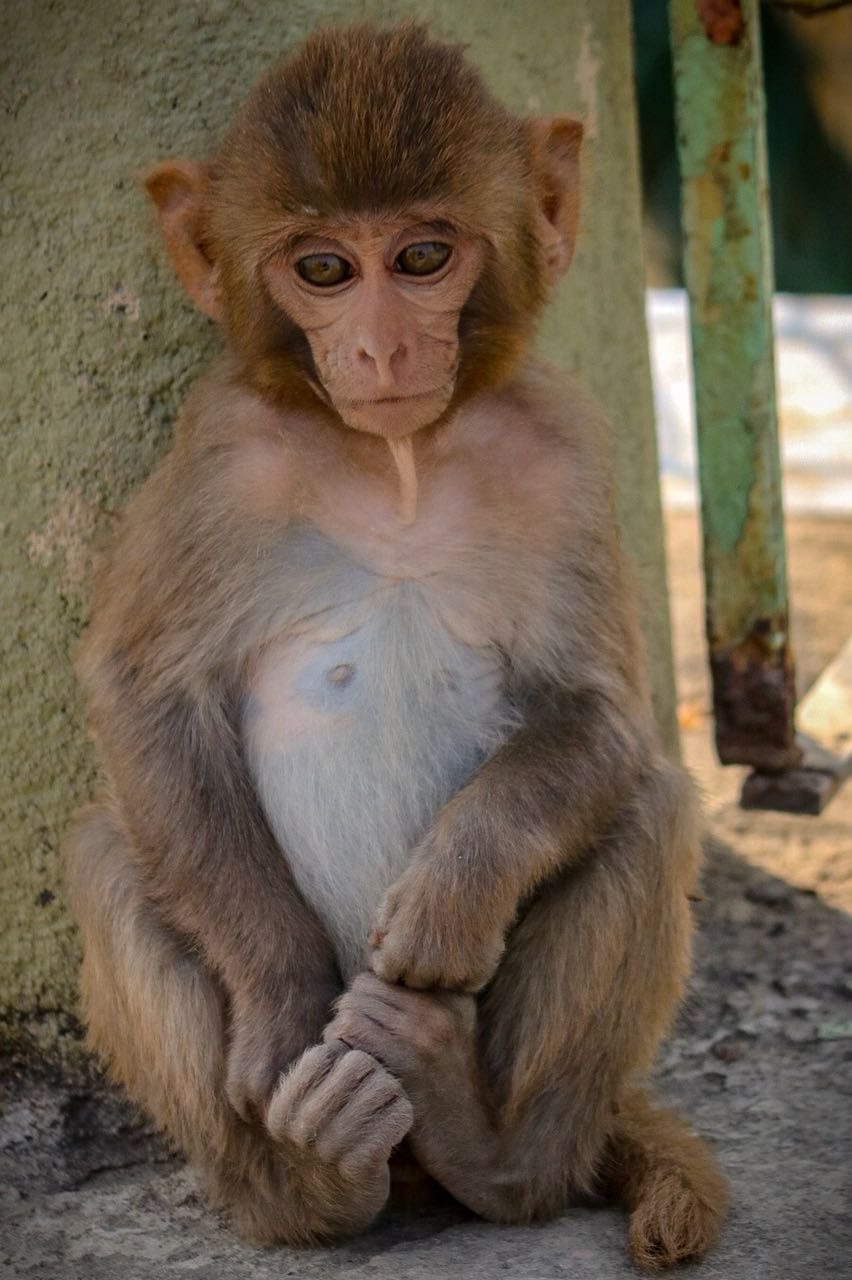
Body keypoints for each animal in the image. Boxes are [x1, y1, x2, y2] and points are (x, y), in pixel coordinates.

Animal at [65, 23, 727, 1268]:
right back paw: (310, 1178)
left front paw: (451, 897)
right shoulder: (223, 448)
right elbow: (147, 693)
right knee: (110, 851)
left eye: (422, 256)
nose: (377, 348)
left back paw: (488, 1140)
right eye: (324, 270)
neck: (400, 460)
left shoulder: (565, 448)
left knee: (653, 806)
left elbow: (604, 713)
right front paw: (281, 1005)